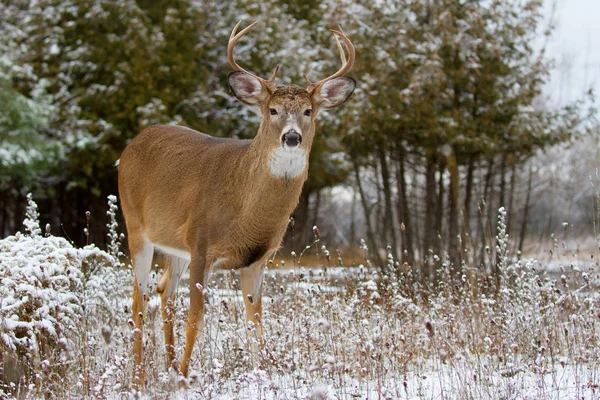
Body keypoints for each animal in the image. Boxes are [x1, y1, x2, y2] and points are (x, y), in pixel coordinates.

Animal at [119, 21, 356, 384]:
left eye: (308, 111)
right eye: (272, 110)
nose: (291, 137)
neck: (245, 209)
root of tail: (130, 146)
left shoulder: (258, 258)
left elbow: (254, 322)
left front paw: (262, 375)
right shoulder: (202, 245)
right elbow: (196, 318)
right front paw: (187, 377)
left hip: (175, 245)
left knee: (164, 291)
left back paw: (168, 366)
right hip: (136, 228)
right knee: (138, 299)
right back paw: (142, 377)